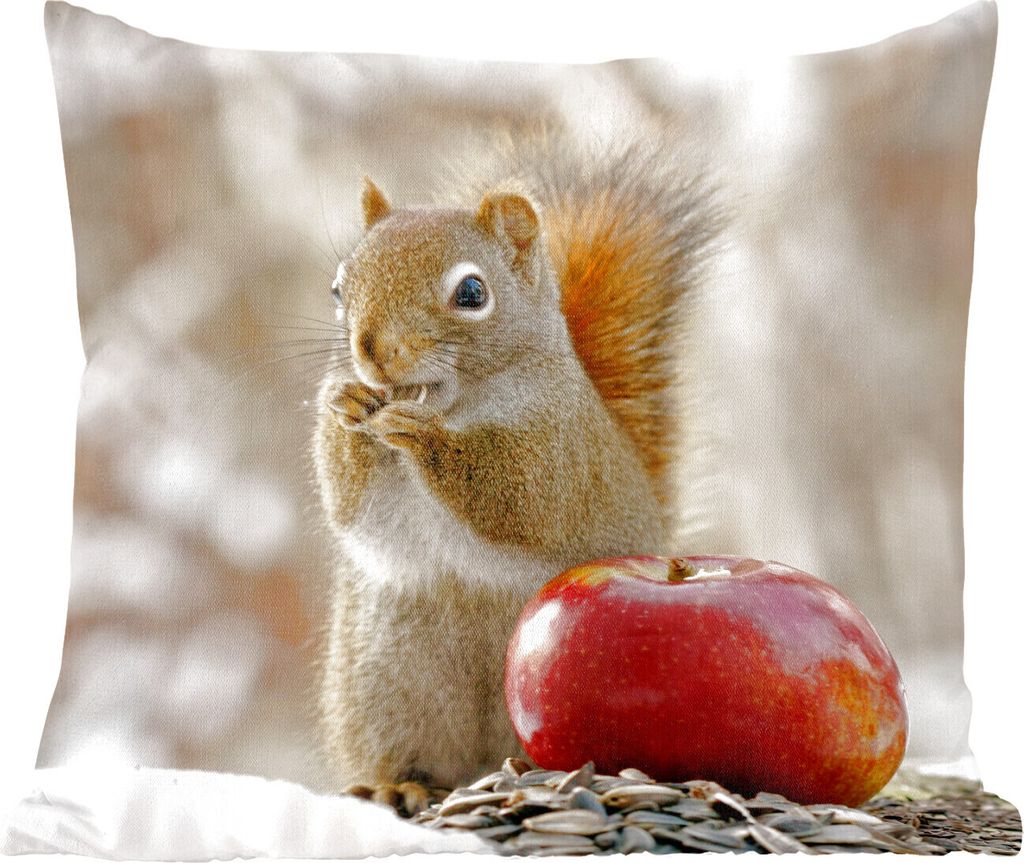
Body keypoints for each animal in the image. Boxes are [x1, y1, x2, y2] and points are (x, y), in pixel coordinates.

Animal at [313, 134, 718, 815]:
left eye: (472, 293)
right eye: (340, 288)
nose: (370, 352)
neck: (457, 402)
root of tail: (483, 758)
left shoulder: (558, 451)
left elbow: (520, 501)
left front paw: (424, 437)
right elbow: (350, 509)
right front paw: (344, 405)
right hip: (386, 681)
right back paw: (401, 783)